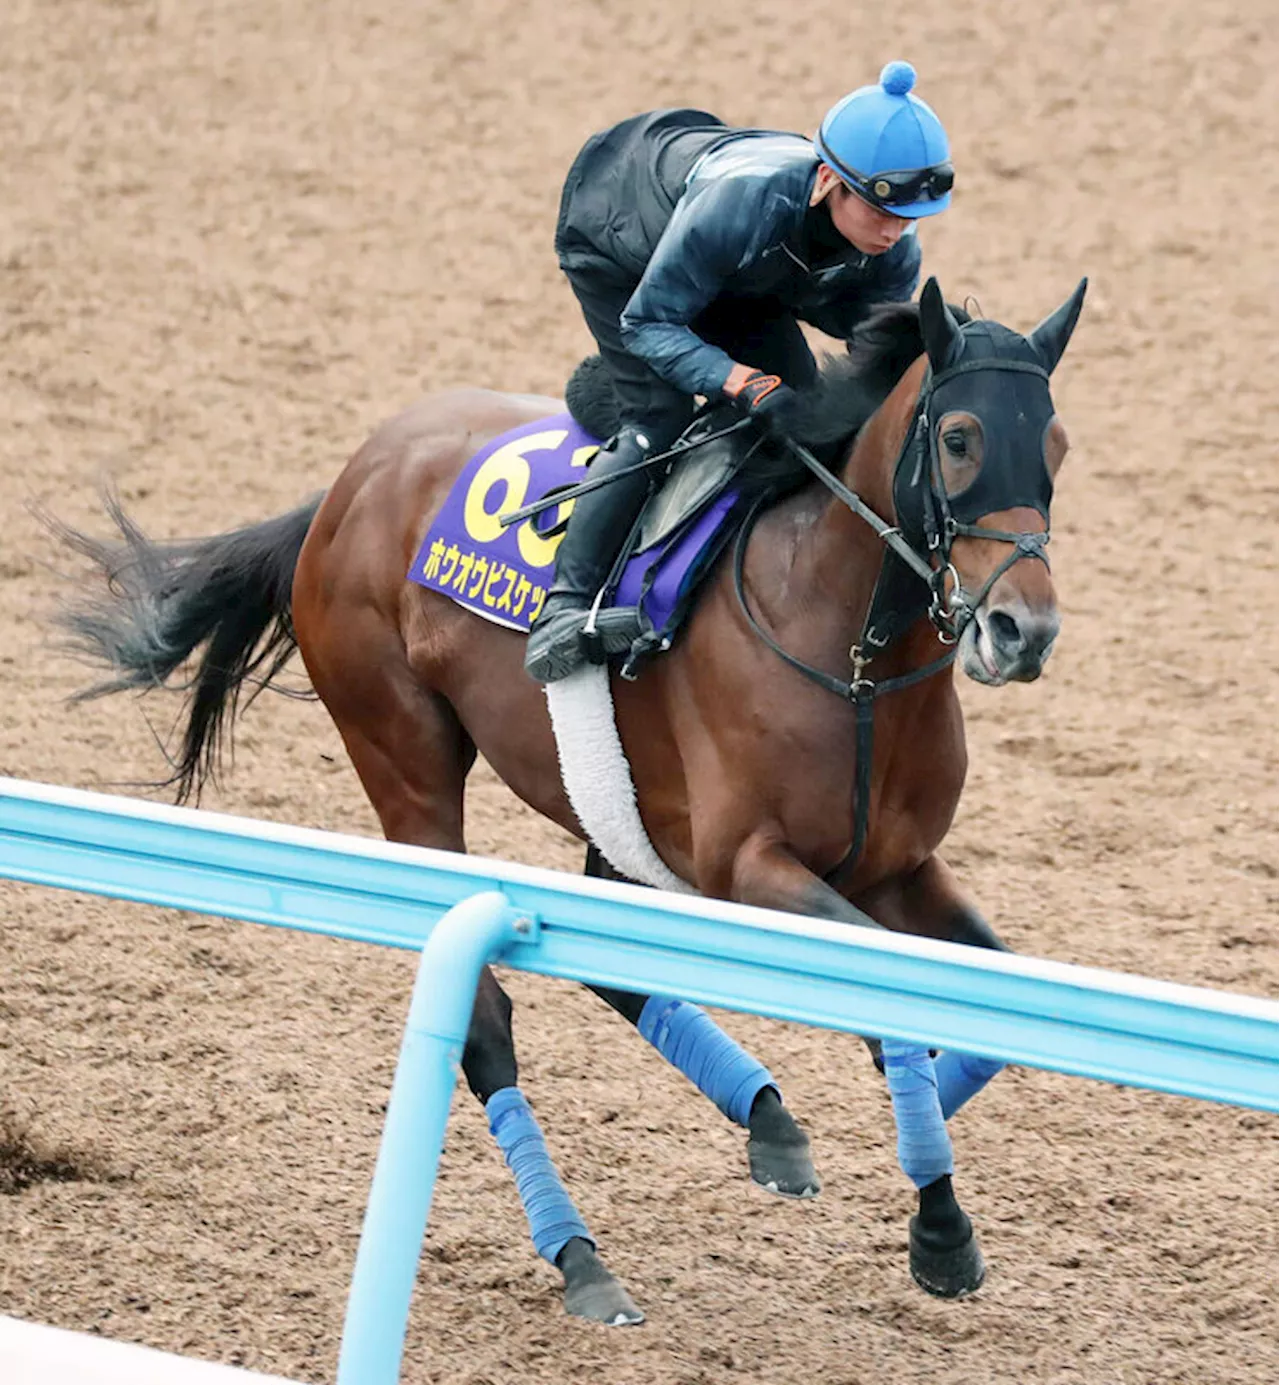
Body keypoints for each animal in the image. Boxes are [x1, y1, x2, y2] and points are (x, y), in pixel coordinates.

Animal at [45, 275, 1086, 1324]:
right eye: (958, 437)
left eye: (1056, 443)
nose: (1023, 631)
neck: (848, 647)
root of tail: (350, 479)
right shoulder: (747, 864)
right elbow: (886, 996)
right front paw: (937, 1222)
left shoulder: (895, 867)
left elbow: (982, 995)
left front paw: (934, 1176)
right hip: (406, 770)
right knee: (486, 1022)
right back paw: (582, 1257)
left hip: (616, 804)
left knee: (608, 950)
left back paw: (766, 1120)